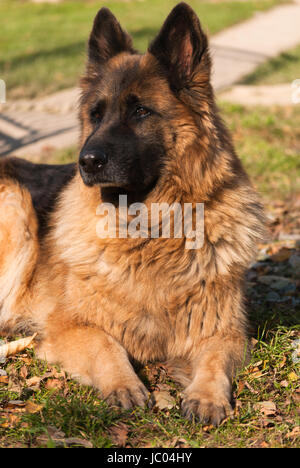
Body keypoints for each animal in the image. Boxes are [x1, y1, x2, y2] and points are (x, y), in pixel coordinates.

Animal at [0, 2, 262, 424]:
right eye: (95, 114)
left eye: (140, 111)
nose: (86, 162)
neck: (151, 232)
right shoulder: (69, 325)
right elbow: (105, 345)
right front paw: (123, 384)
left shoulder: (226, 331)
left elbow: (214, 361)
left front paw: (206, 395)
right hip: (15, 205)